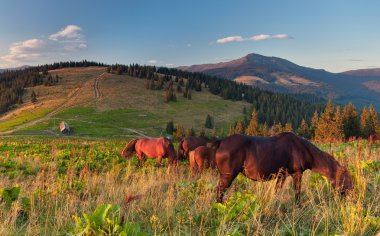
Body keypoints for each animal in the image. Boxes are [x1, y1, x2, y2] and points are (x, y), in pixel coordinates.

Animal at [214, 133, 354, 203]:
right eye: (347, 179)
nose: (353, 195)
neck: (303, 149)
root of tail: (220, 142)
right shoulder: (297, 174)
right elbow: (297, 192)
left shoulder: (282, 176)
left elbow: (276, 192)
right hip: (228, 176)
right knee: (219, 192)